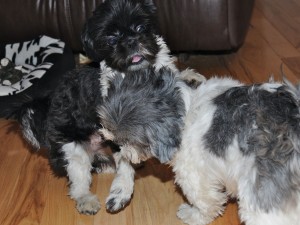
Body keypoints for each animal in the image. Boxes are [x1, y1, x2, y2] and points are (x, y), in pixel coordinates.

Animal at [99, 67, 300, 225]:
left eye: (129, 141)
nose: (122, 153)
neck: (188, 107)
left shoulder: (193, 174)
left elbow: (207, 203)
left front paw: (192, 215)